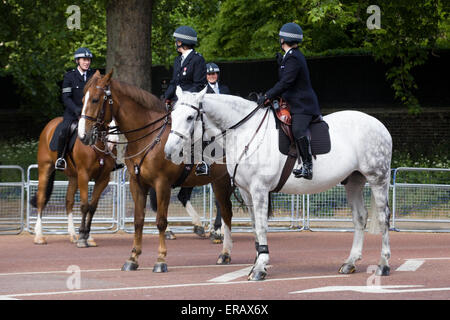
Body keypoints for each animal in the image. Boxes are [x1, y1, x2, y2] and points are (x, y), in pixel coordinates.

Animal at [29, 116, 118, 246]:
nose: (113, 142)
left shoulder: (103, 179)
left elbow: (92, 206)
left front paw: (87, 237)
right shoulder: (84, 176)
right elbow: (85, 205)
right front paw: (83, 238)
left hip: (73, 177)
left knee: (69, 201)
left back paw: (73, 234)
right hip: (45, 169)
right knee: (41, 199)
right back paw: (39, 236)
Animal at [78, 70, 234, 272]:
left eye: (96, 99)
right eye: (83, 99)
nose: (83, 135)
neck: (149, 137)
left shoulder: (162, 184)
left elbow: (161, 221)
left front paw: (160, 259)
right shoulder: (137, 184)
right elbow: (138, 220)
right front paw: (133, 257)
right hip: (219, 181)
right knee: (225, 212)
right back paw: (223, 250)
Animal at [163, 86, 392, 282]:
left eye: (190, 117)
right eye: (172, 116)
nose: (168, 151)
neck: (246, 131)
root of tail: (379, 124)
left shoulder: (259, 189)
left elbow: (262, 225)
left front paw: (260, 267)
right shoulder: (246, 192)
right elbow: (255, 225)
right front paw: (258, 260)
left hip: (377, 179)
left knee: (383, 218)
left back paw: (383, 264)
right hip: (354, 181)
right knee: (359, 218)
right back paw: (350, 262)